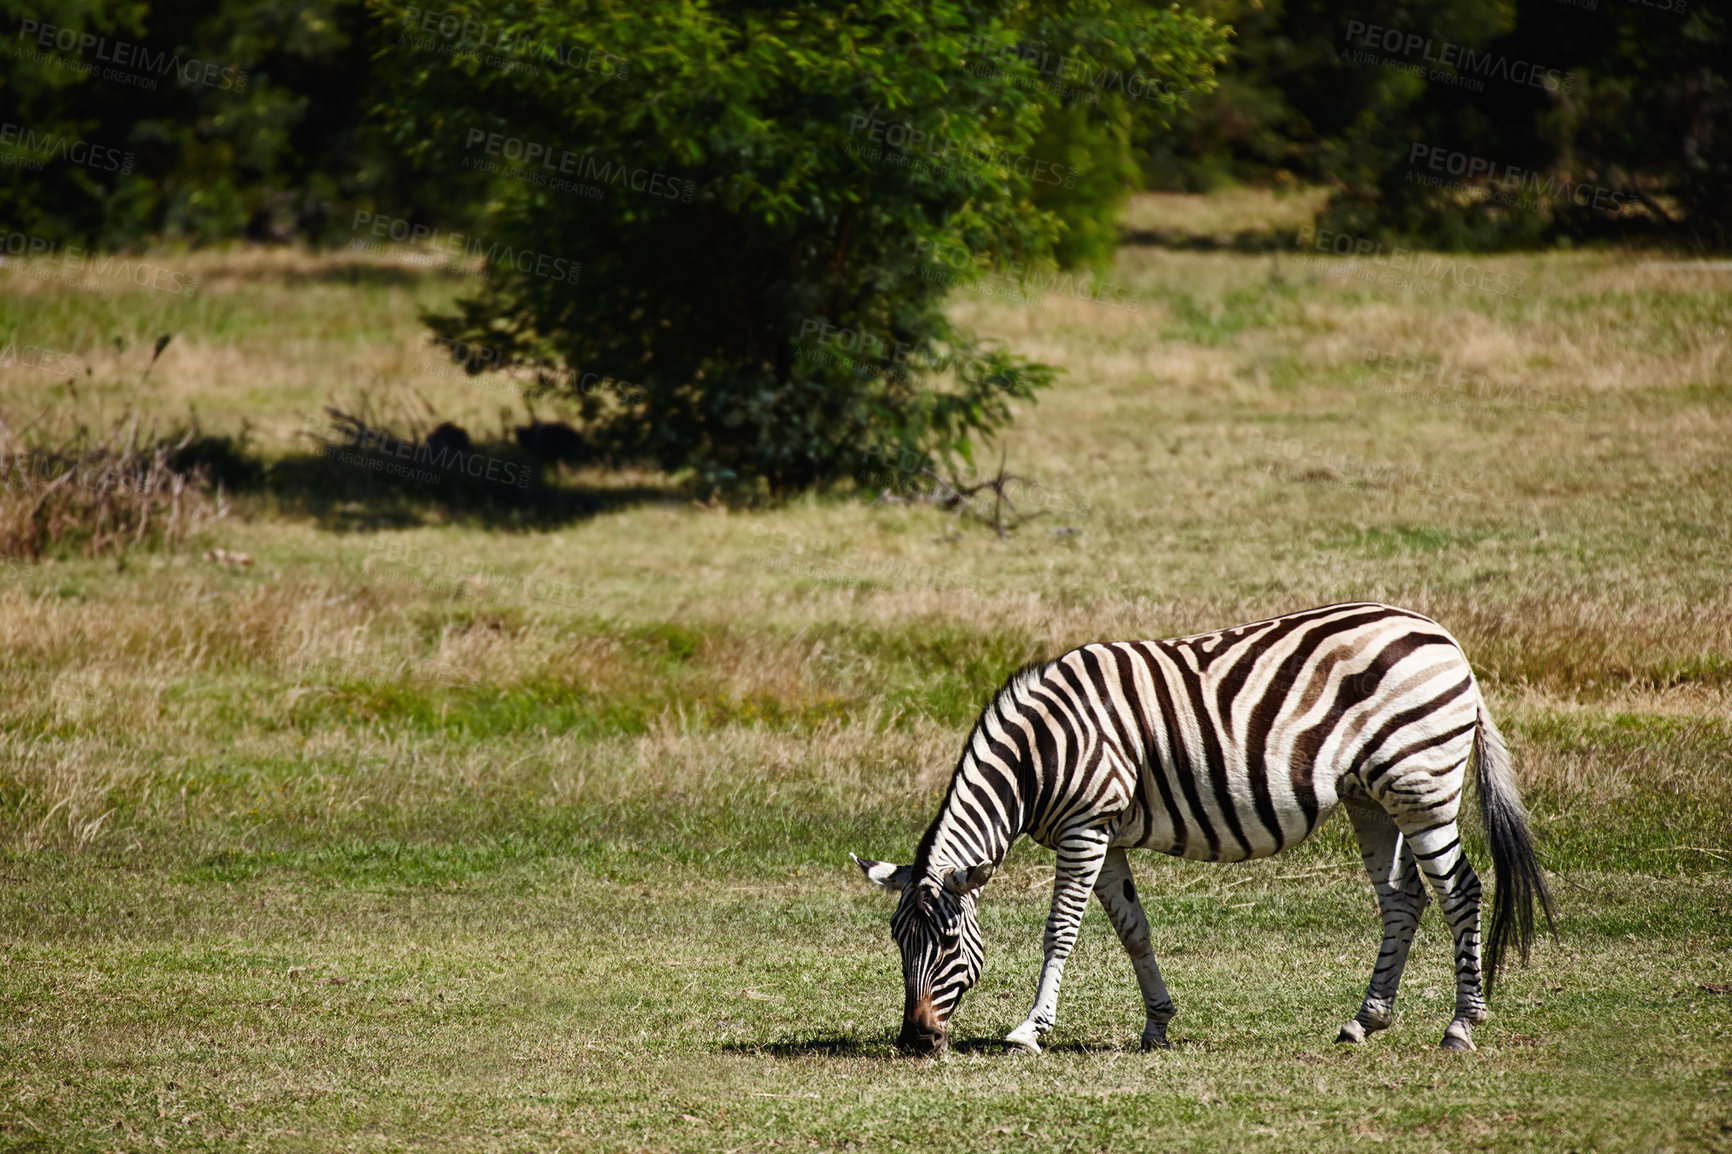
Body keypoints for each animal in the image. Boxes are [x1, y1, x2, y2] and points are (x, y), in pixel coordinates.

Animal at [852, 602, 1558, 1053]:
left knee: (1459, 890)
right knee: (1403, 897)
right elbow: (1132, 930)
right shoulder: (1104, 834)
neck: (1037, 756)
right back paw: (1365, 1020)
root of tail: (1443, 636)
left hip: (1419, 782)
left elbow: (1060, 931)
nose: (915, 1040)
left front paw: (1030, 1031)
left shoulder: (1085, 827)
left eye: (948, 944)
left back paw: (1461, 1027)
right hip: (1369, 795)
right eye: (896, 942)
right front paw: (1158, 1025)